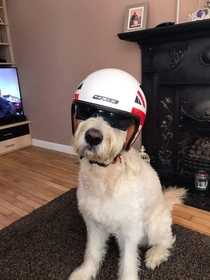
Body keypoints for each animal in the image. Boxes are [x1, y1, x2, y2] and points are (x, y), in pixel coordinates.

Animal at [68, 114, 186, 280]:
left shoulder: (130, 230)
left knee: (166, 240)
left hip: (153, 226)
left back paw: (155, 255)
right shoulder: (93, 222)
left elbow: (128, 262)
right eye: (87, 112)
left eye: (116, 120)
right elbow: (92, 252)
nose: (93, 137)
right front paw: (84, 272)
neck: (104, 174)